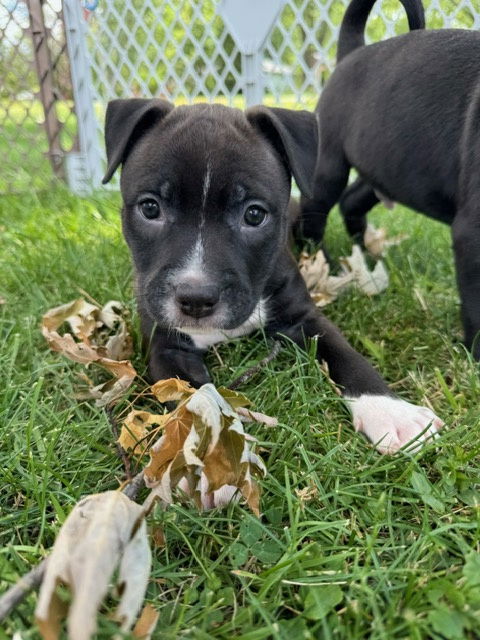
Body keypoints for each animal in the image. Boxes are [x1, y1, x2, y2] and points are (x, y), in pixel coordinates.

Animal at [103, 97, 440, 452]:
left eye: (254, 214)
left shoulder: (305, 319)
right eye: (150, 208)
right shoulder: (166, 348)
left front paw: (393, 413)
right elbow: (196, 400)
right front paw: (217, 450)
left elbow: (348, 357)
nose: (196, 298)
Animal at [300, 0, 480, 360]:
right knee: (313, 211)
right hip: (329, 167)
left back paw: (364, 250)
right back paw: (318, 260)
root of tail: (353, 53)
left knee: (351, 202)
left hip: (387, 171)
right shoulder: (473, 234)